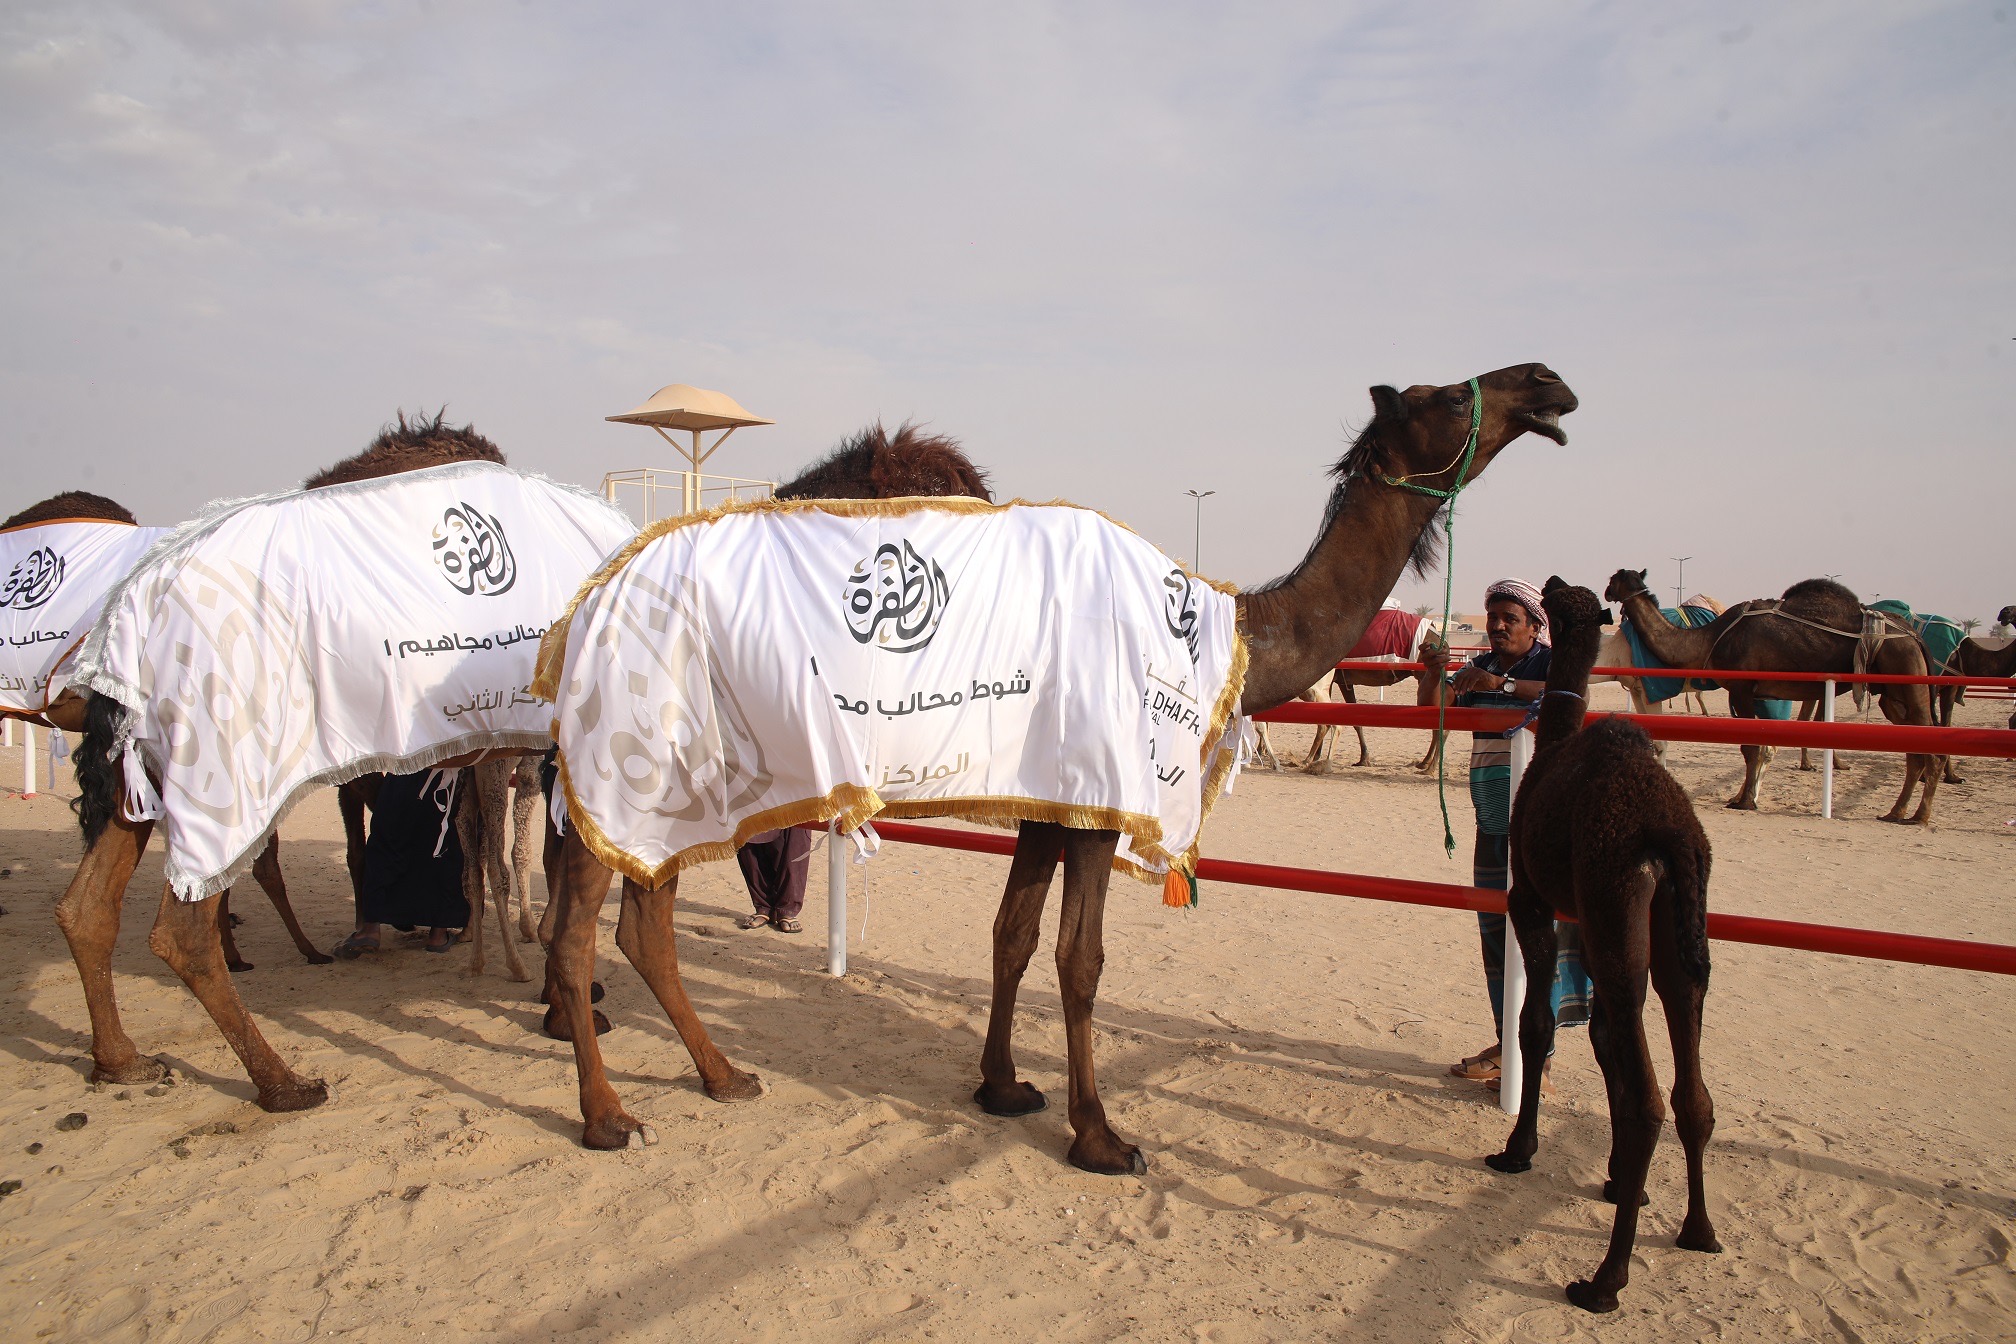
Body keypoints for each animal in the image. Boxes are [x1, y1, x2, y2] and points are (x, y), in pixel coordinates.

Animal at [544, 360, 1580, 1168]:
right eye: (1444, 393)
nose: (1547, 382)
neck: (1220, 629)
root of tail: (591, 599)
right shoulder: (1096, 795)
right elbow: (1080, 958)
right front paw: (1101, 1135)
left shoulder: (1047, 795)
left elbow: (1012, 934)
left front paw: (1002, 1086)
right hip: (641, 750)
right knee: (583, 914)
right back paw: (607, 1115)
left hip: (690, 775)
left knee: (642, 918)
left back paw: (723, 1075)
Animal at [1483, 580, 1717, 1313]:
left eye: (1540, 609)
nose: (1553, 585)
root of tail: (1669, 834)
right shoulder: (1588, 918)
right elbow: (1603, 1036)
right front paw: (1620, 1181)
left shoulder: (1533, 899)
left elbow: (1536, 1023)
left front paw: (1518, 1148)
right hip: (1676, 930)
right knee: (1689, 1079)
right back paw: (1699, 1230)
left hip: (1619, 901)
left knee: (1648, 1094)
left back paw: (1604, 1279)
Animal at [1596, 564, 1943, 822]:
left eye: (1614, 578)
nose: (1606, 593)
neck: (1705, 639)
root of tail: (1914, 636)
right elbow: (1752, 746)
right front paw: (1740, 796)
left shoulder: (1739, 688)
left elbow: (1749, 747)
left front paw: (1745, 801)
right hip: (1892, 695)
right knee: (1914, 747)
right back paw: (1897, 811)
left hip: (1908, 677)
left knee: (1931, 745)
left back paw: (1919, 815)